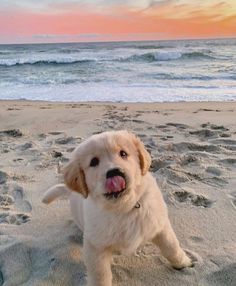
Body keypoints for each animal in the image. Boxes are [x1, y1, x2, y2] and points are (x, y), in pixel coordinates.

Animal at [42, 130, 192, 286]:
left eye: (123, 154)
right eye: (94, 162)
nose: (114, 172)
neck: (123, 208)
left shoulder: (159, 224)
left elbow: (171, 246)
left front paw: (184, 263)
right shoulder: (95, 246)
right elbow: (100, 275)